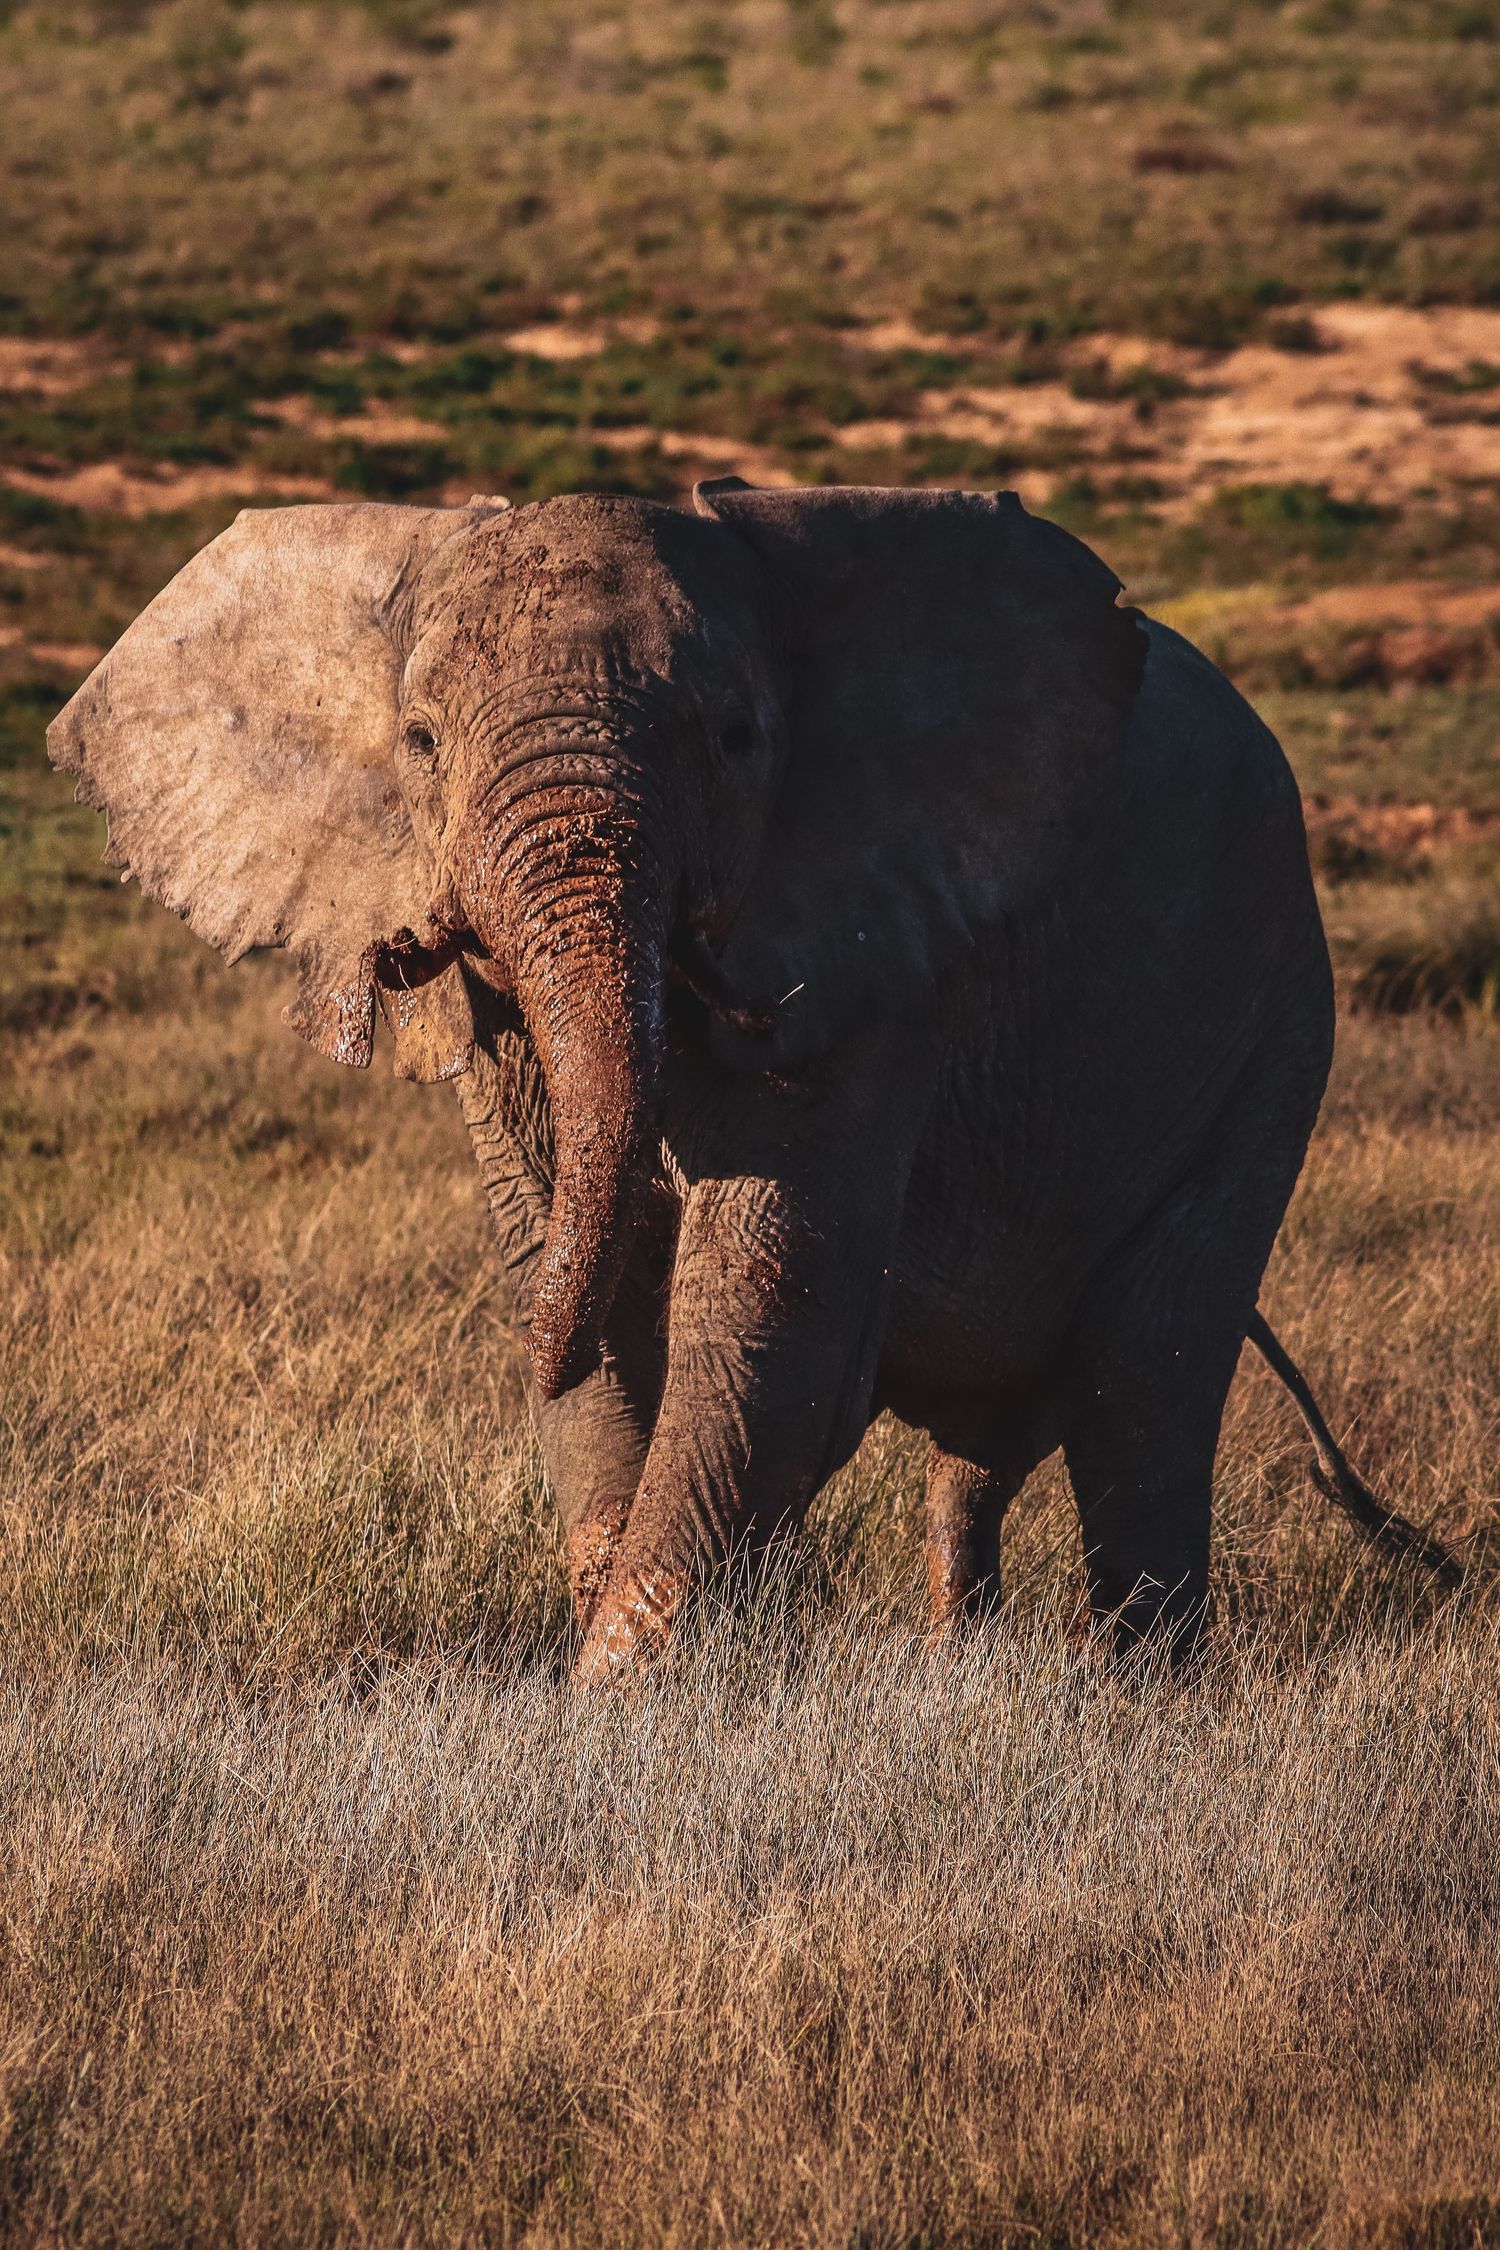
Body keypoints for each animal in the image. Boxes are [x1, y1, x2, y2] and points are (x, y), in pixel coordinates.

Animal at [47, 482, 1458, 1675]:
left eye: (732, 739)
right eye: (421, 739)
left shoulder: (874, 951)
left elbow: (771, 1319)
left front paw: (616, 1705)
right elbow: (590, 1279)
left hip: (1272, 1031)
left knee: (1146, 1381)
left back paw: (1136, 1701)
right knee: (988, 1450)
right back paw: (972, 1670)